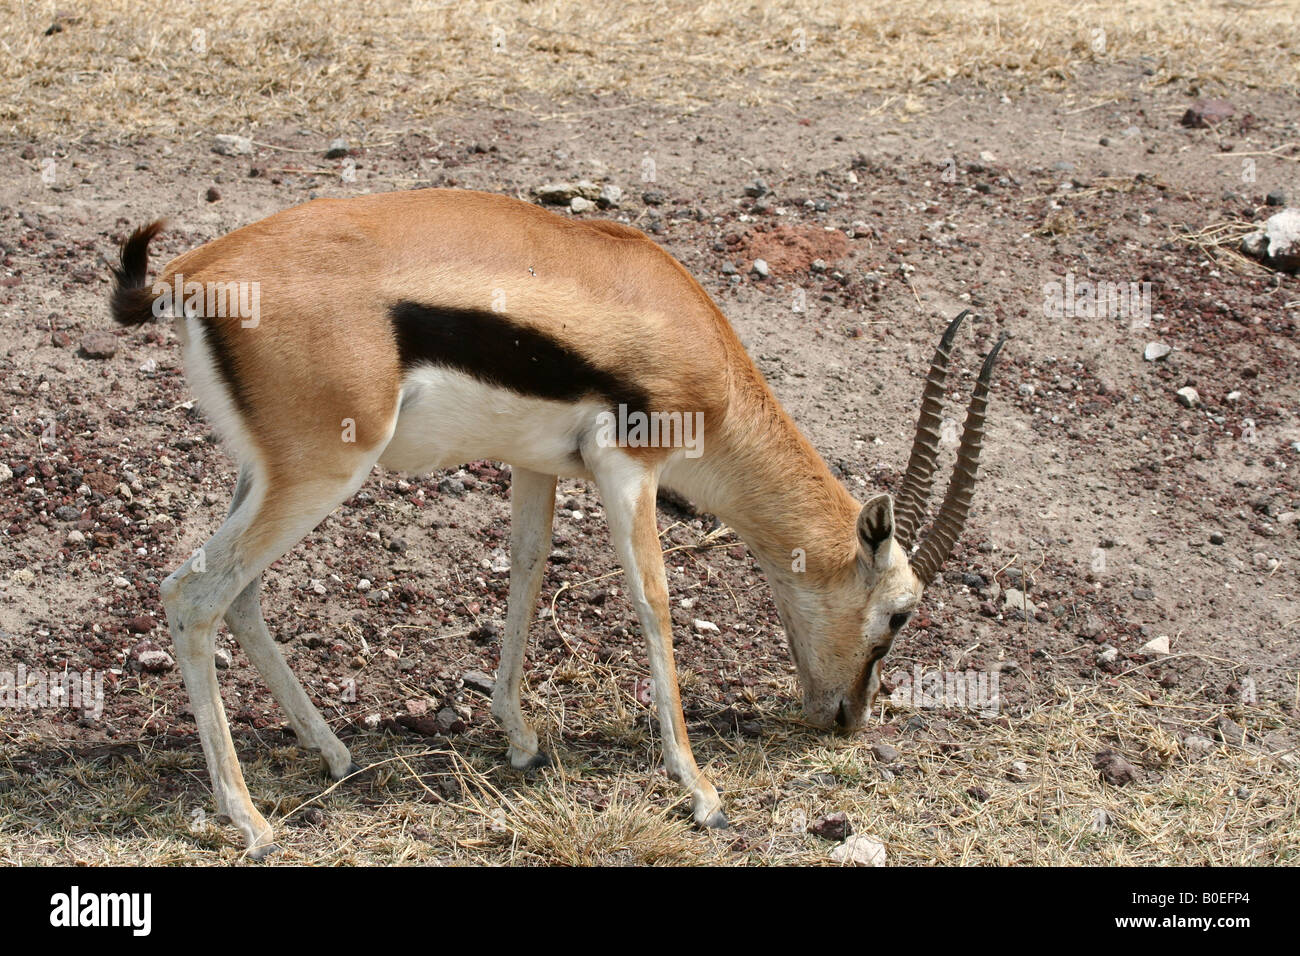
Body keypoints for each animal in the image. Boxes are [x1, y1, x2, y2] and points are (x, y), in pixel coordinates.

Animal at [108, 189, 1005, 857]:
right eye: (901, 614)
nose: (848, 718)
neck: (689, 336)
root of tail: (189, 274)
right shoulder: (628, 468)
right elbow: (653, 604)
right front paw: (700, 789)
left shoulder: (537, 465)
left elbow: (528, 569)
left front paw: (519, 737)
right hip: (322, 473)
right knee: (192, 594)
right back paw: (251, 822)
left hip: (269, 475)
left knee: (243, 595)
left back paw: (331, 753)